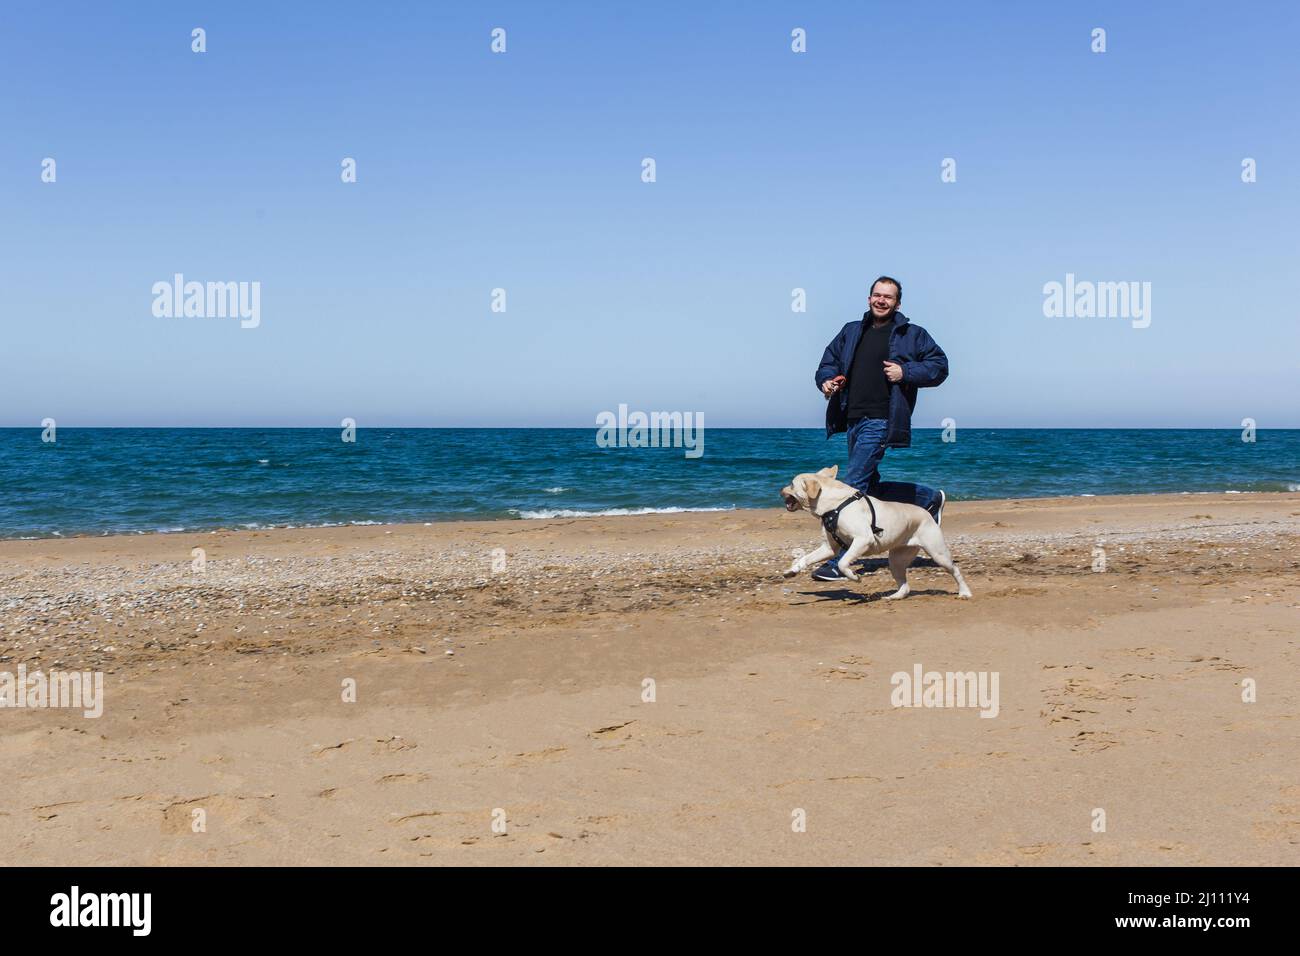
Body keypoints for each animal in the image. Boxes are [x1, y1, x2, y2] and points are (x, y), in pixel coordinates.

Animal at [774, 468, 972, 600]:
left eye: (791, 484)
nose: (780, 489)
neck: (835, 505)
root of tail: (927, 514)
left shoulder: (863, 539)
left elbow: (843, 562)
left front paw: (854, 577)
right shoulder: (829, 548)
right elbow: (805, 558)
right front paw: (792, 570)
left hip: (938, 553)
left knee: (956, 570)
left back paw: (964, 592)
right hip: (897, 559)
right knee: (905, 586)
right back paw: (894, 597)